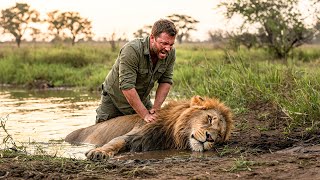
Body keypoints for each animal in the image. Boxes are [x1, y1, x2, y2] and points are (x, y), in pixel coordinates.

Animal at [65, 95, 235, 160]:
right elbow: (114, 143)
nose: (210, 138)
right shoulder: (133, 135)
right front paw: (98, 152)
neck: (171, 133)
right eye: (210, 119)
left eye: (219, 136)